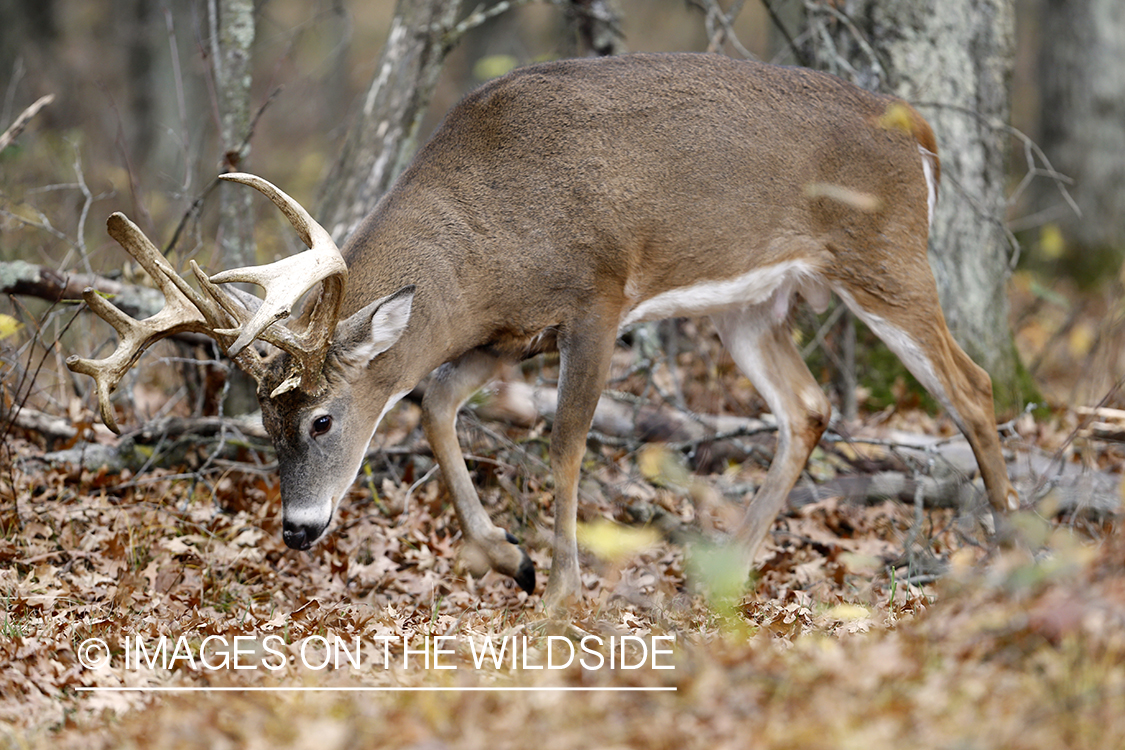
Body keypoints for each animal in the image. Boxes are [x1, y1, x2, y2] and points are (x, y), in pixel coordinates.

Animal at [68, 55, 1021, 611]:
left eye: (323, 419)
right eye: (264, 423)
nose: (298, 529)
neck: (492, 227)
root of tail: (919, 130)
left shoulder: (598, 293)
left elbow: (564, 440)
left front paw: (561, 585)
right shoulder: (501, 329)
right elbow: (434, 400)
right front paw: (508, 559)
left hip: (883, 256)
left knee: (972, 387)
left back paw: (1013, 550)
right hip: (748, 304)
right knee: (809, 407)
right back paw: (719, 574)